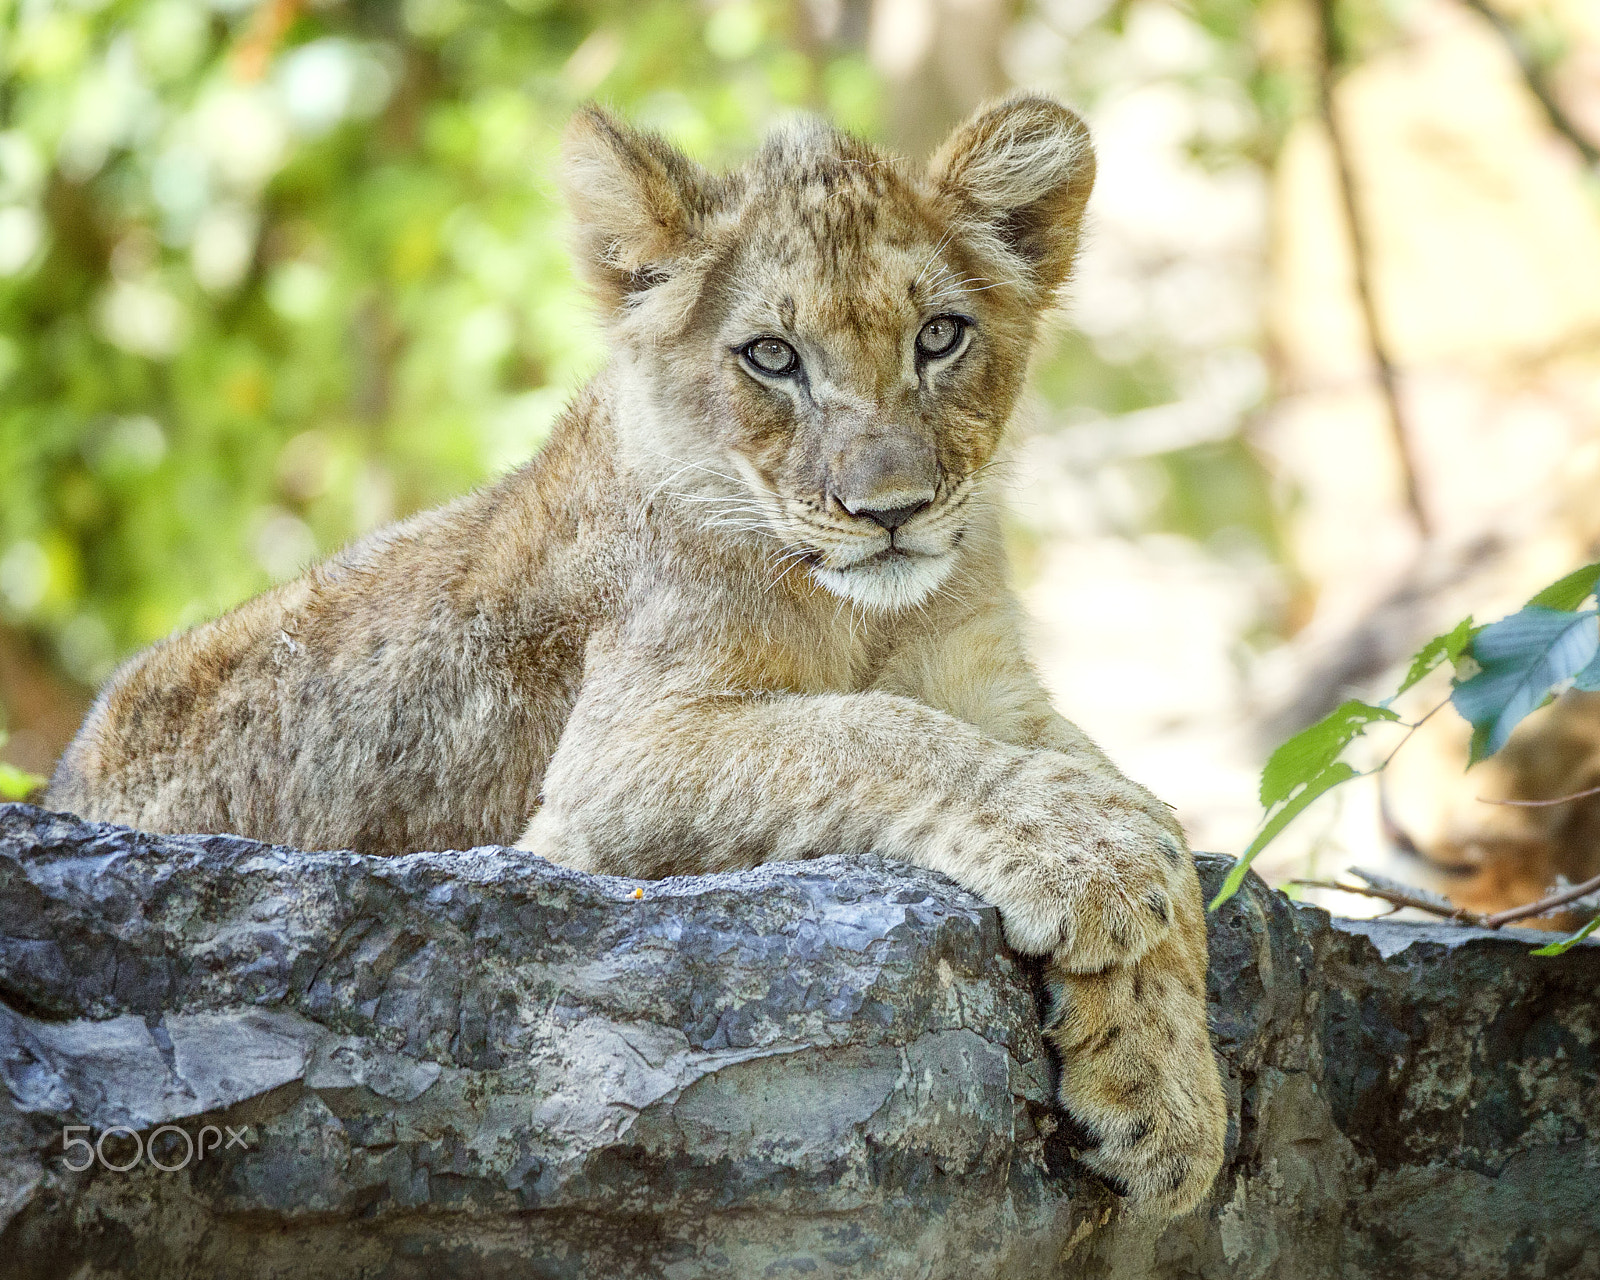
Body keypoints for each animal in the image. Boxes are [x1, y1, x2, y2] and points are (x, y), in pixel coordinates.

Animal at [46, 95, 1226, 1218]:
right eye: (771, 357)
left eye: (940, 336)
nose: (890, 512)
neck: (864, 617)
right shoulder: (606, 769)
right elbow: (872, 730)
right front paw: (1099, 857)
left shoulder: (993, 691)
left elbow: (1146, 808)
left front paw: (1167, 1103)